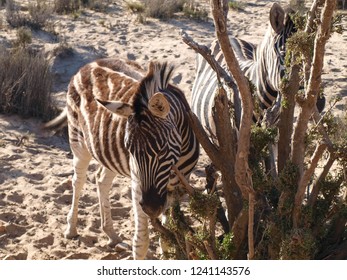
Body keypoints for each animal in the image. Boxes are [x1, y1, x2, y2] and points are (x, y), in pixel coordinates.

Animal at [44, 58, 200, 260]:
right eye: (130, 150)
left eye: (162, 149)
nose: (151, 207)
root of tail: (89, 64)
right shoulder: (138, 183)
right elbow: (141, 242)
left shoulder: (178, 185)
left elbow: (168, 235)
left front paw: (167, 253)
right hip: (78, 141)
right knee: (77, 181)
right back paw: (71, 229)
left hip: (108, 153)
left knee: (101, 179)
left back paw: (111, 235)